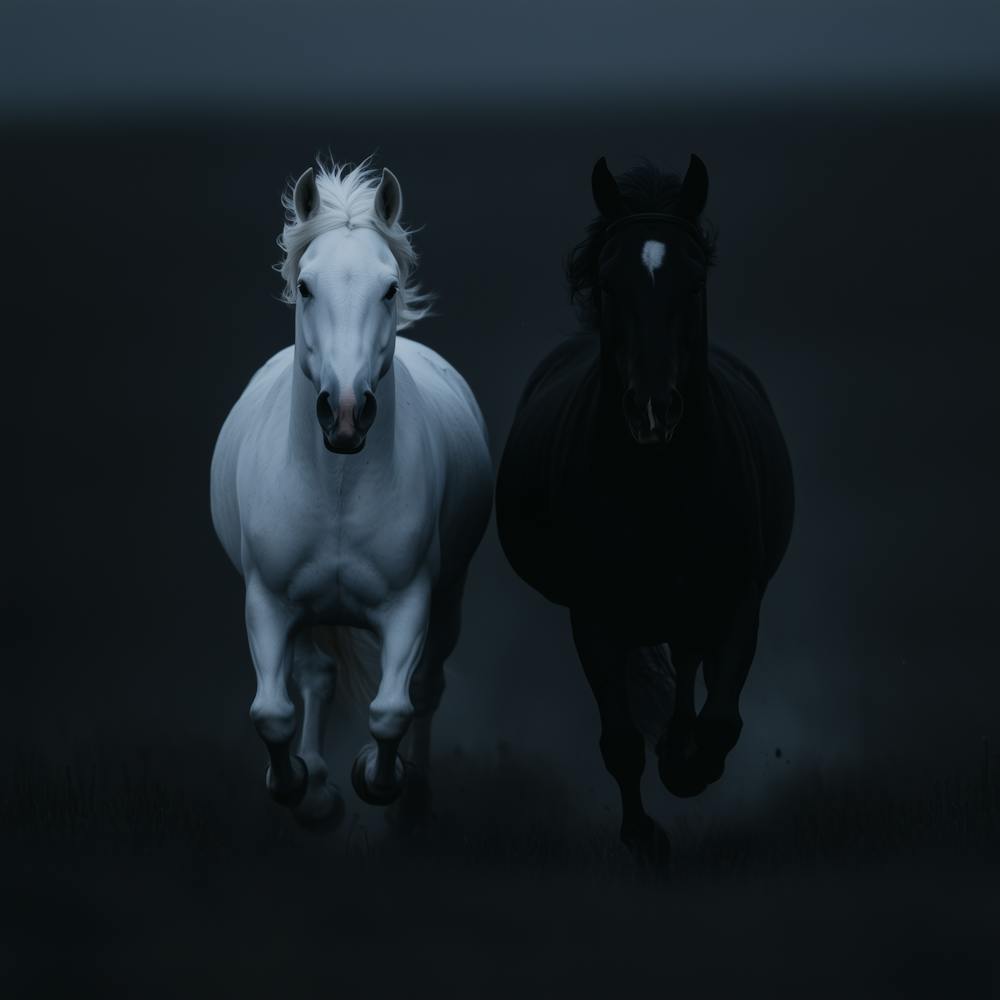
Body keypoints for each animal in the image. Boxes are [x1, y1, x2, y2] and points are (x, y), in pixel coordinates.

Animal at [210, 159, 493, 827]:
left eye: (388, 289)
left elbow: (393, 709)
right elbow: (272, 711)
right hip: (308, 614)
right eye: (306, 286)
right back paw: (314, 783)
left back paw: (413, 796)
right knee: (316, 676)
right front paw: (300, 788)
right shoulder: (268, 602)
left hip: (449, 596)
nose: (344, 414)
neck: (338, 487)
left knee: (426, 688)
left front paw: (377, 778)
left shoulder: (411, 603)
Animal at [495, 155, 794, 863]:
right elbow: (621, 742)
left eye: (694, 280)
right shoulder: (595, 614)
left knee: (687, 670)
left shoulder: (737, 599)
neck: (661, 486)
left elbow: (721, 721)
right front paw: (646, 833)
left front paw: (685, 768)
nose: (654, 411)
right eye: (610, 282)